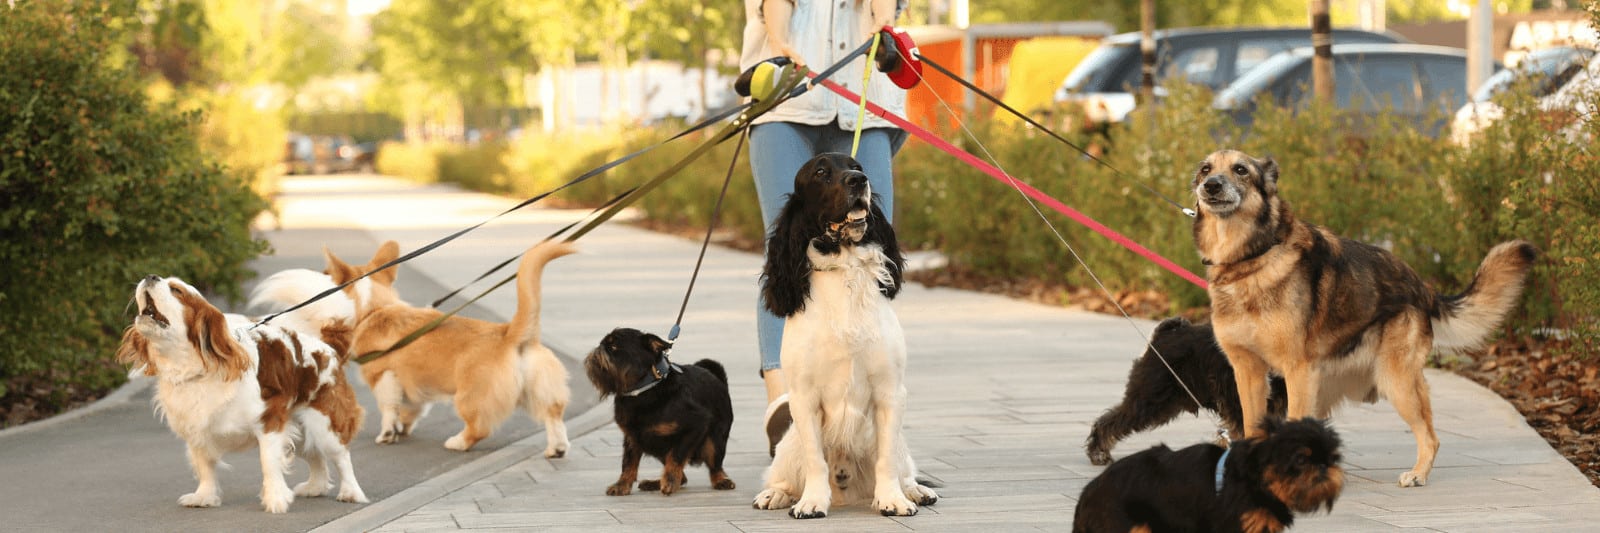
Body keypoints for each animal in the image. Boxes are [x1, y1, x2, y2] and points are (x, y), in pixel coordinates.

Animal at [323, 240, 576, 451]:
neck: (373, 309)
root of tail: (510, 332)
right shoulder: (414, 389)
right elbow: (409, 410)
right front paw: (402, 429)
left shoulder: (383, 378)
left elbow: (388, 410)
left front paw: (387, 434)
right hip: (538, 390)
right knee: (553, 414)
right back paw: (557, 448)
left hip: (468, 398)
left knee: (479, 428)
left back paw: (456, 442)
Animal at [588, 326, 736, 496]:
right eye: (603, 344)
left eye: (613, 347)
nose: (599, 348)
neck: (642, 391)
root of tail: (719, 380)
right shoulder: (632, 437)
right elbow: (628, 463)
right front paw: (622, 485)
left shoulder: (695, 426)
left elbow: (676, 457)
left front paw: (670, 481)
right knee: (682, 476)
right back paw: (655, 483)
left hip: (713, 441)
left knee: (714, 465)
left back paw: (720, 480)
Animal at [1196, 148, 1529, 486]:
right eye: (1205, 169)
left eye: (1240, 170)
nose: (1211, 186)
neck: (1250, 260)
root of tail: (1422, 286)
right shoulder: (1248, 371)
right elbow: (1251, 427)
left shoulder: (1297, 371)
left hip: (1395, 382)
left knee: (1430, 435)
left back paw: (1418, 474)